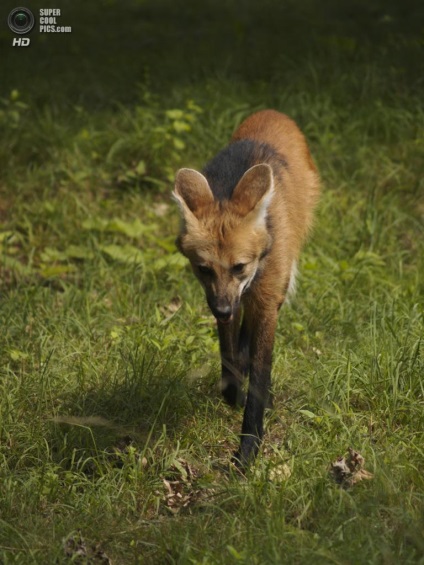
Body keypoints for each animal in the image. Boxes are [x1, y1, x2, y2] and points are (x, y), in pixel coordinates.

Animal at [172, 110, 318, 468]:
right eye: (203, 269)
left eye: (239, 266)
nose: (222, 310)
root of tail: (273, 112)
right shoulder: (225, 299)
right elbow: (228, 356)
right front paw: (233, 390)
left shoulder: (264, 299)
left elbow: (260, 373)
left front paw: (249, 447)